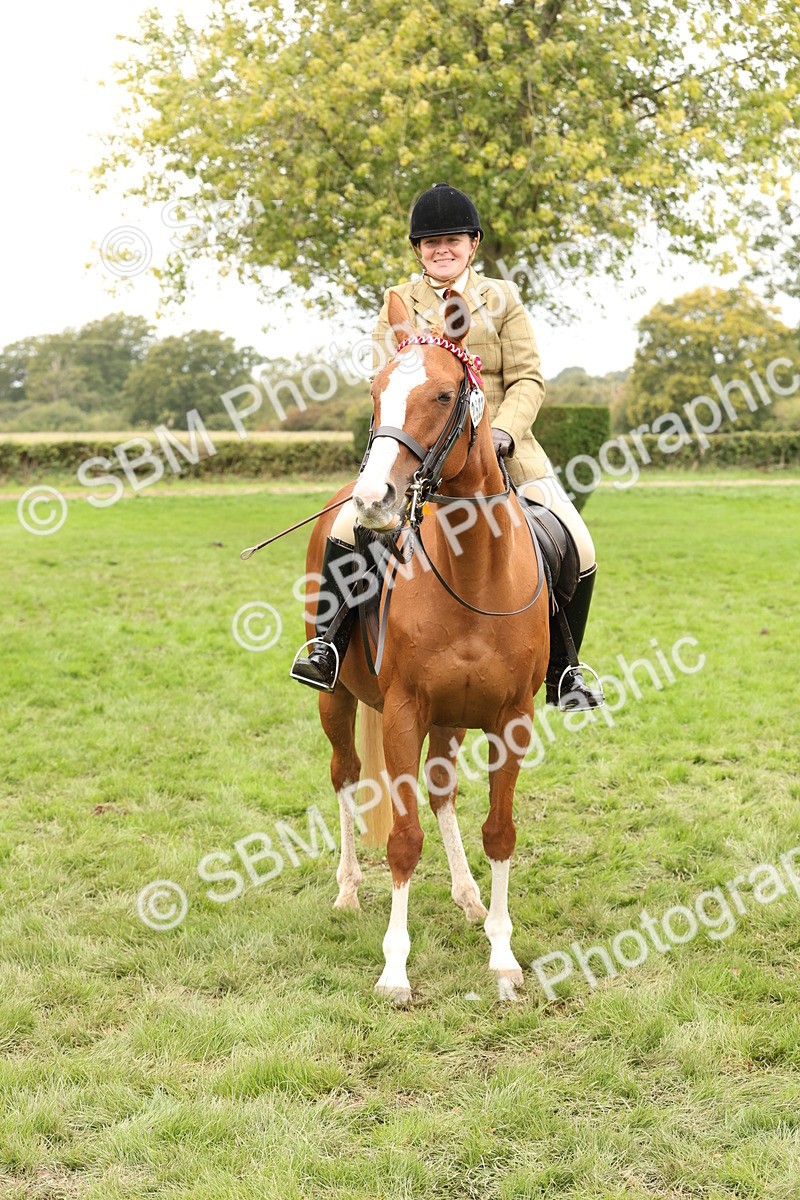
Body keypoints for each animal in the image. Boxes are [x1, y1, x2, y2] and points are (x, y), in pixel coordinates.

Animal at [303, 290, 549, 1003]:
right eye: (376, 390)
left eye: (443, 395)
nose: (374, 500)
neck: (473, 574)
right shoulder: (405, 712)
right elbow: (404, 840)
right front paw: (394, 969)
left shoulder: (509, 718)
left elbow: (499, 832)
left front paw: (503, 956)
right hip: (339, 703)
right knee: (346, 776)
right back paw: (349, 892)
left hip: (453, 719)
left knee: (441, 794)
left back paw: (469, 898)